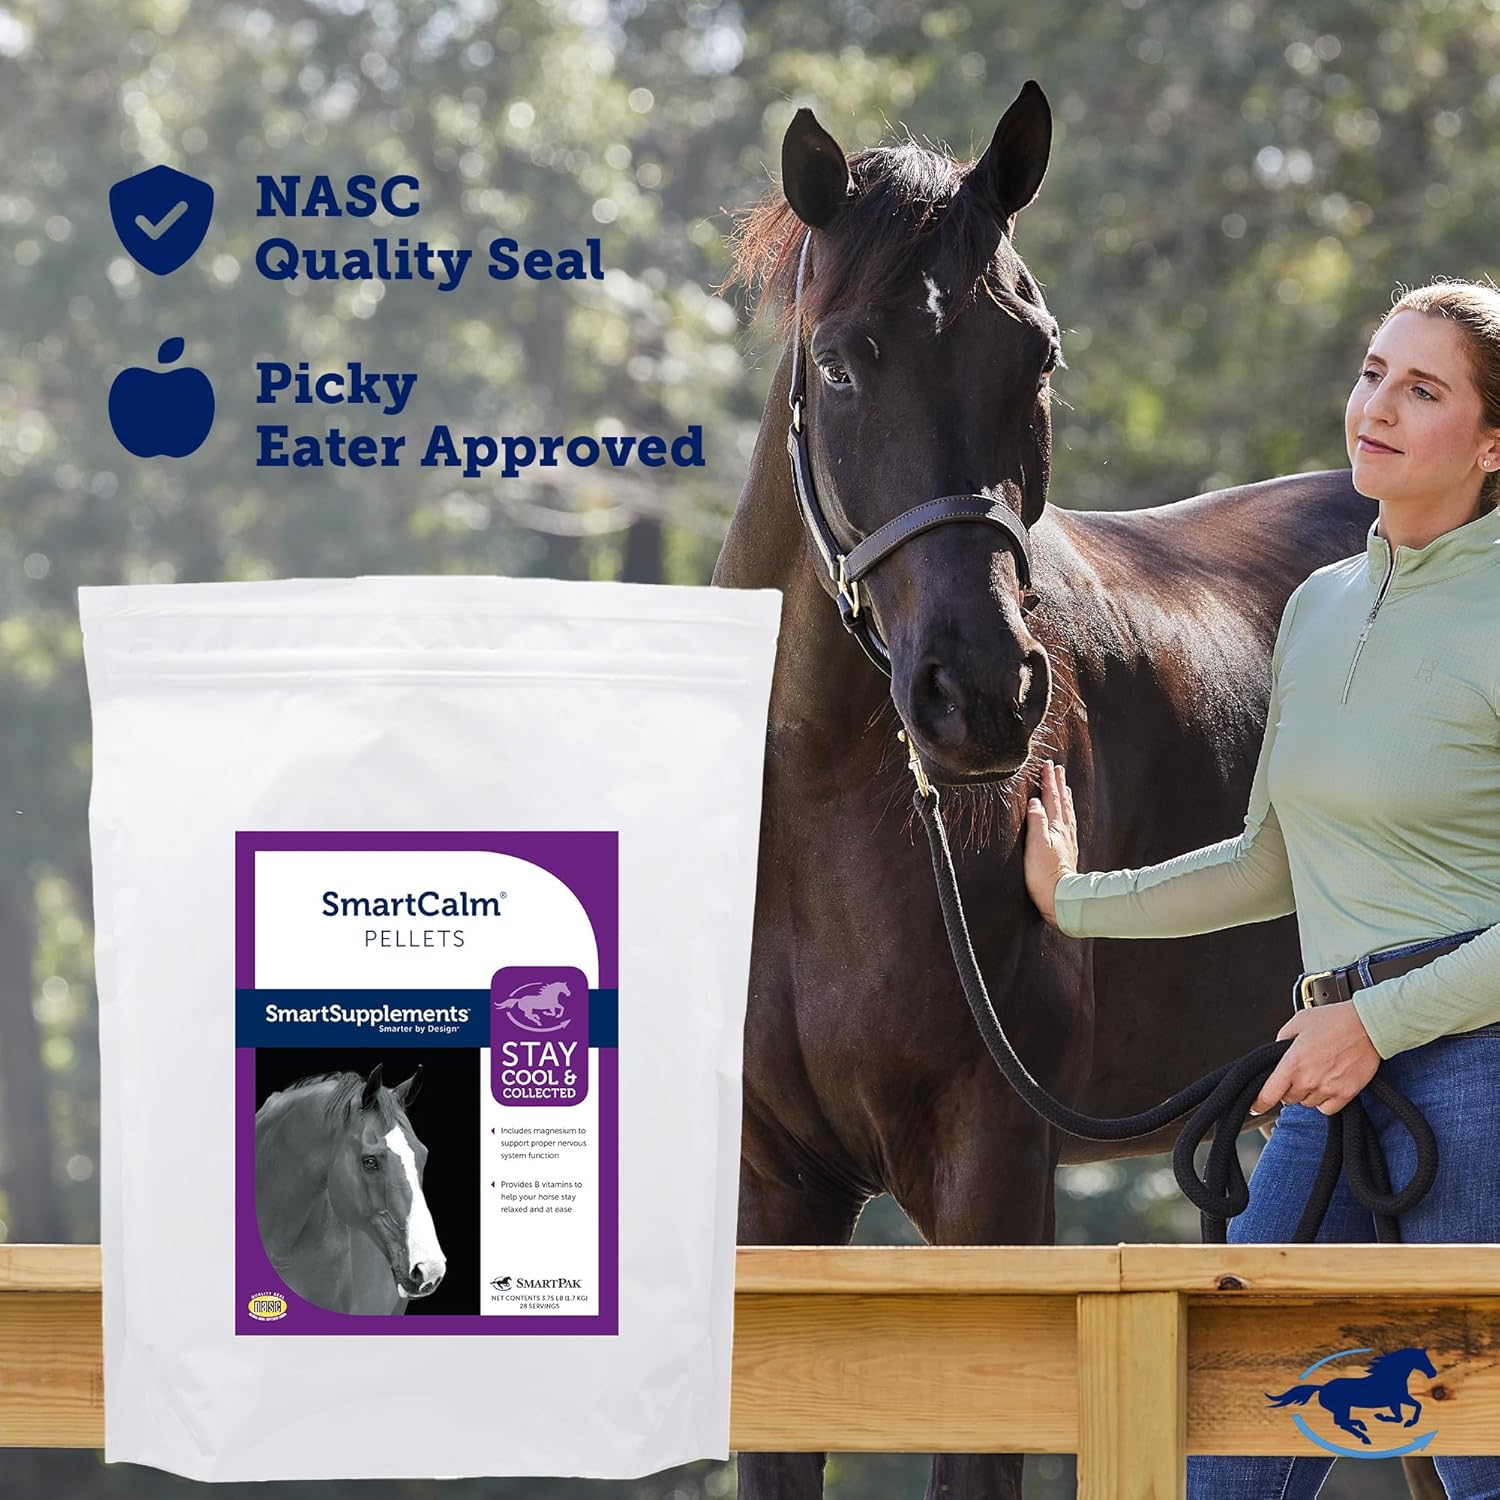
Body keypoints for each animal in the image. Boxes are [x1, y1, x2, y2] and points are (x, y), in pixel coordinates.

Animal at [713, 82, 1400, 1499]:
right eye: (843, 359)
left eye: (1033, 357)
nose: (980, 694)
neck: (815, 815)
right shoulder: (775, 1189)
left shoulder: (993, 1181)